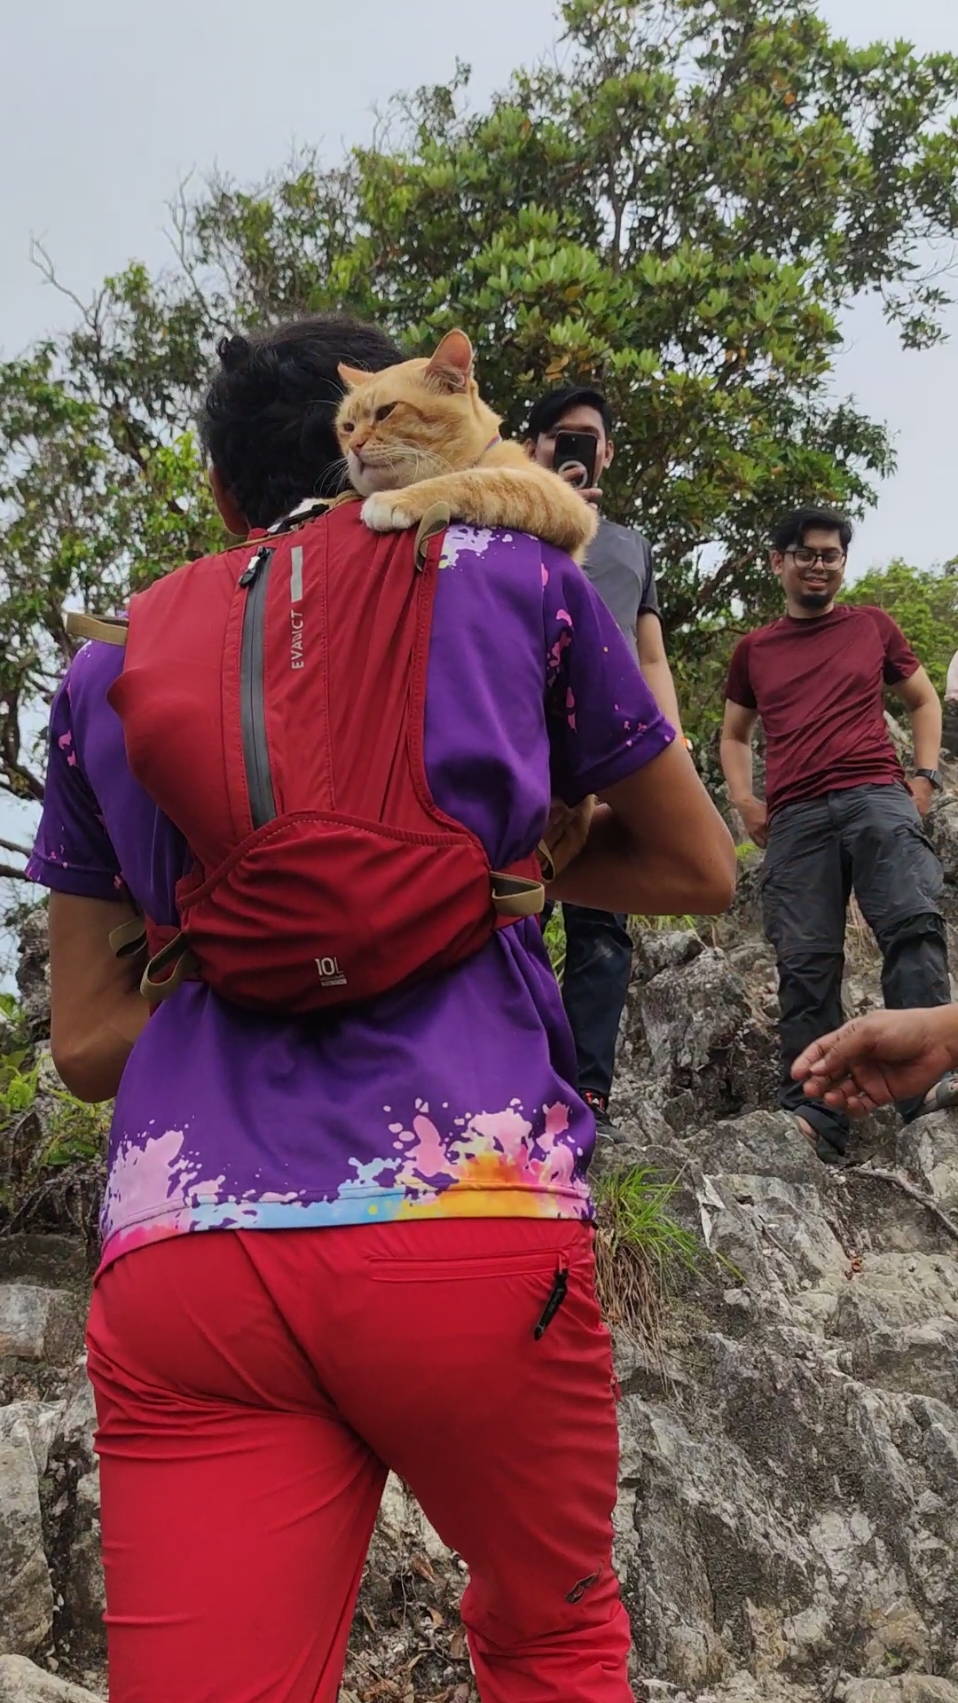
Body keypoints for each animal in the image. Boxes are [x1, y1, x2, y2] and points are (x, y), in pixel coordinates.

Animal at [333, 332, 595, 565]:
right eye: (348, 427)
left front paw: (394, 499)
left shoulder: (555, 494)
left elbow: (469, 480)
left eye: (385, 412)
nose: (354, 446)